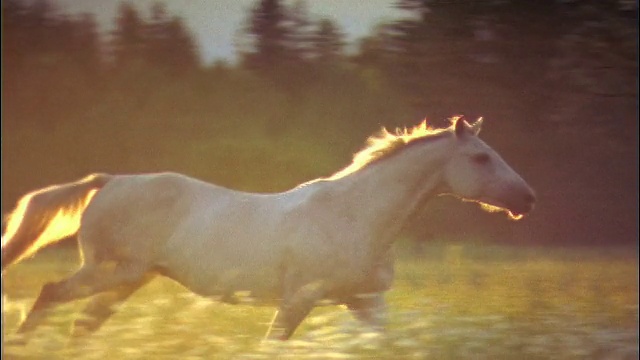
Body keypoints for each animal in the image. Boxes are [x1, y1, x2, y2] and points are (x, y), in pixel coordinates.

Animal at [1, 117, 536, 340]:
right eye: (480, 157)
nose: (527, 199)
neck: (357, 215)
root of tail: (109, 180)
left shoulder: (366, 302)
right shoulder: (299, 298)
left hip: (126, 281)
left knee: (79, 325)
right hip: (109, 271)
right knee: (48, 294)